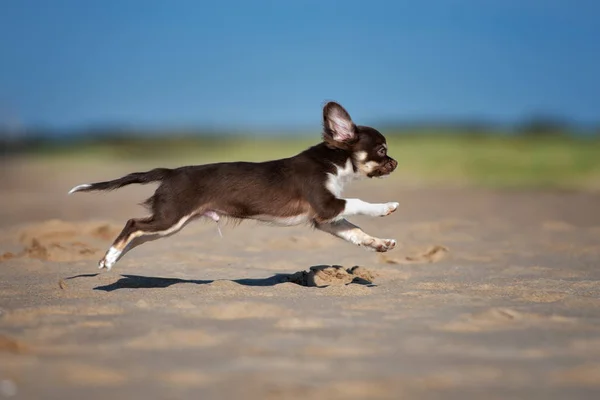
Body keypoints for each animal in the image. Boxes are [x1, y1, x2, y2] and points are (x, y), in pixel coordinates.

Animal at [69, 103, 398, 270]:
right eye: (382, 150)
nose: (395, 163)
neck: (334, 163)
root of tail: (171, 171)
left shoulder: (325, 219)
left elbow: (355, 232)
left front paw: (379, 243)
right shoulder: (327, 206)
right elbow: (359, 203)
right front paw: (386, 207)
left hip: (169, 225)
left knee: (137, 234)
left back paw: (112, 256)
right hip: (169, 218)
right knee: (132, 223)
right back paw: (111, 255)